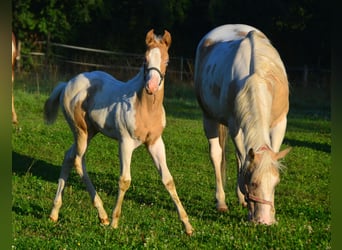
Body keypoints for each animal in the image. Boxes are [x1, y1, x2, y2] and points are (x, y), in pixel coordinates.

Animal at [43, 30, 192, 235]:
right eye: (144, 59)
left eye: (167, 61)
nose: (152, 86)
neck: (145, 108)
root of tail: (67, 84)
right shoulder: (125, 142)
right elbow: (124, 180)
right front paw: (115, 222)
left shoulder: (155, 142)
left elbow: (168, 180)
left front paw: (187, 225)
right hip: (80, 131)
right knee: (79, 161)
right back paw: (103, 215)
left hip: (91, 131)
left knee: (68, 157)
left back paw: (54, 212)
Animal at [195, 24, 292, 226]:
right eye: (252, 182)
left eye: (276, 183)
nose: (264, 220)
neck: (256, 77)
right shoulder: (235, 127)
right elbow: (240, 163)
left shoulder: (280, 123)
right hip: (209, 118)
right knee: (216, 155)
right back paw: (221, 202)